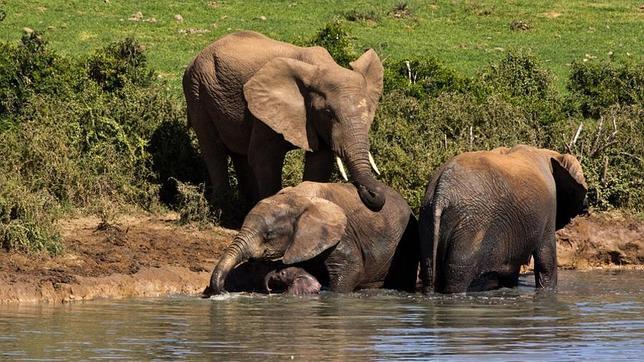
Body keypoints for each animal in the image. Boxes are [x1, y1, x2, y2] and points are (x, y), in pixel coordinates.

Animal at [181, 31, 384, 212]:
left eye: (369, 112)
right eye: (328, 113)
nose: (371, 193)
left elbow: (320, 163)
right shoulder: (264, 112)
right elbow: (264, 159)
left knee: (238, 152)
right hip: (197, 90)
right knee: (213, 149)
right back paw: (225, 211)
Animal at [418, 144, 588, 294]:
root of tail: (442, 193)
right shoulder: (549, 209)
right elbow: (546, 259)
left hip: (428, 218)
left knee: (429, 270)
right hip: (471, 226)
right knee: (458, 275)